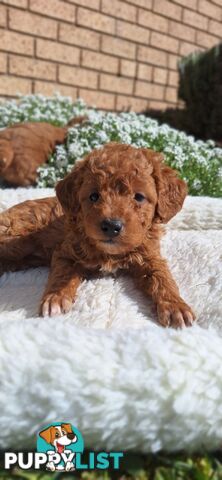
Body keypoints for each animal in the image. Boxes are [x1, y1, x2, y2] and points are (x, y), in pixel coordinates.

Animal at [0, 142, 194, 328]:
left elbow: (162, 278)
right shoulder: (65, 252)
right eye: (94, 196)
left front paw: (175, 306)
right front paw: (55, 298)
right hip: (14, 240)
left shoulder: (150, 256)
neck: (109, 252)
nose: (111, 226)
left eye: (139, 197)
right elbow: (63, 274)